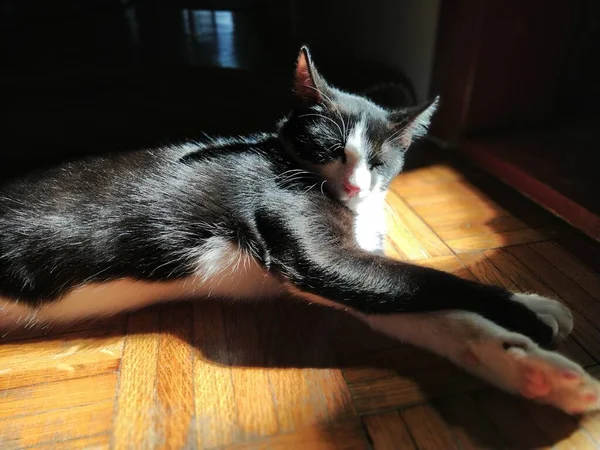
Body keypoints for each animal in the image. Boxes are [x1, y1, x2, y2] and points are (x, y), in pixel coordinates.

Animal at [1, 47, 600, 414]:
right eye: (329, 148)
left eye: (379, 161)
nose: (356, 184)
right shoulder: (312, 254)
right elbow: (433, 281)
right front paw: (531, 309)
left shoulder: (347, 273)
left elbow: (433, 310)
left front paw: (534, 369)